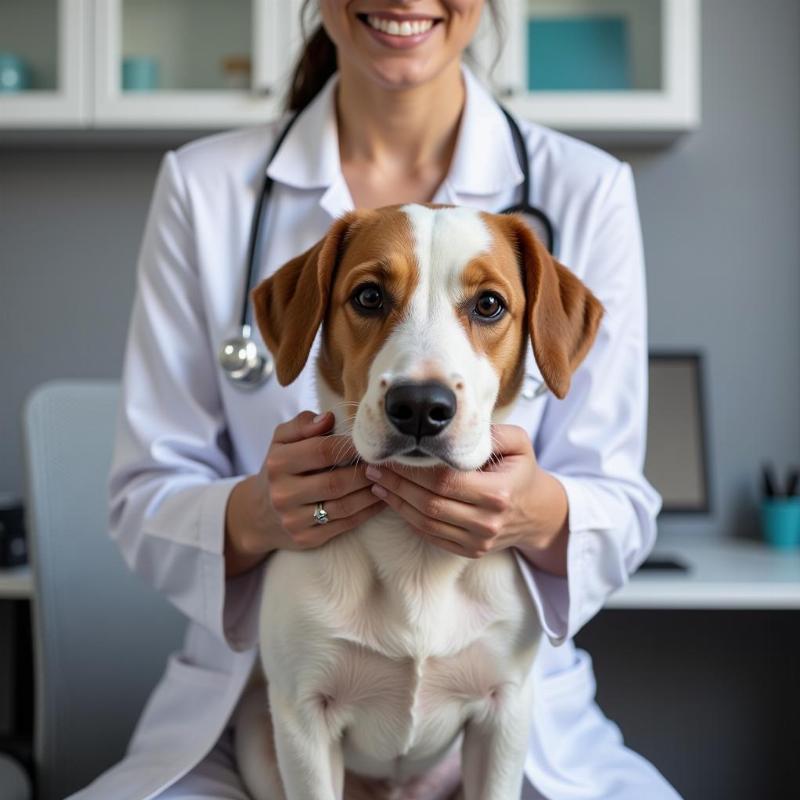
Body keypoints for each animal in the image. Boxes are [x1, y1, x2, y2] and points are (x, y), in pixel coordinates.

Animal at [234, 205, 604, 800]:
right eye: (368, 296)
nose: (421, 406)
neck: (415, 558)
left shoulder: (503, 716)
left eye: (488, 304)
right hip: (256, 734)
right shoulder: (303, 718)